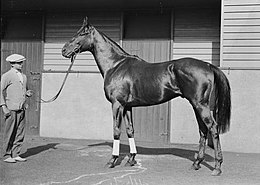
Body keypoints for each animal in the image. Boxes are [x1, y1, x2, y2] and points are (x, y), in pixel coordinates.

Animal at [62, 17, 231, 176]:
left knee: (212, 128)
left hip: (200, 105)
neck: (115, 65)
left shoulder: (117, 104)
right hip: (197, 106)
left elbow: (116, 131)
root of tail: (207, 65)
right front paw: (131, 159)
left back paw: (217, 167)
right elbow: (130, 130)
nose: (63, 50)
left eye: (81, 33)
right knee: (203, 130)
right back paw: (196, 163)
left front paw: (112, 160)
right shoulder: (127, 107)